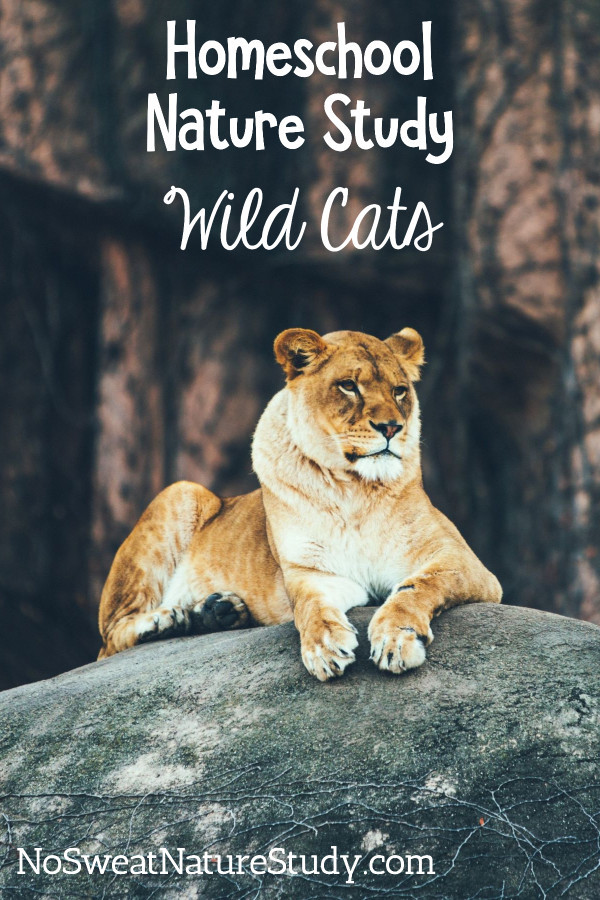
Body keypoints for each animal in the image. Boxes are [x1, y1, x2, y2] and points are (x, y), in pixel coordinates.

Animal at [98, 327, 502, 679]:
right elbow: (310, 606)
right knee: (111, 639)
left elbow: (417, 587)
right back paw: (168, 618)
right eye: (349, 386)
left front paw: (396, 638)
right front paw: (324, 648)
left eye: (400, 391)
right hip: (180, 491)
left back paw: (215, 611)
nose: (391, 427)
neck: (355, 490)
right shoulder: (310, 570)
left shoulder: (463, 561)